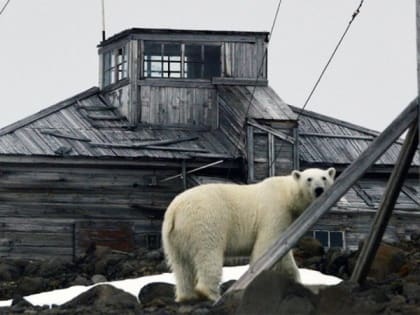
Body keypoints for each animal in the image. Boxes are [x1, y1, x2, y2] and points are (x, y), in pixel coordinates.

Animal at [162, 169, 336, 302]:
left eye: (324, 178)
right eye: (309, 179)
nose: (319, 189)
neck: (287, 193)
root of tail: (174, 210)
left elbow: (284, 253)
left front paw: (294, 280)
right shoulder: (276, 210)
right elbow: (267, 244)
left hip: (174, 237)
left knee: (181, 264)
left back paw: (186, 296)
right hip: (205, 221)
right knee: (208, 254)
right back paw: (211, 294)